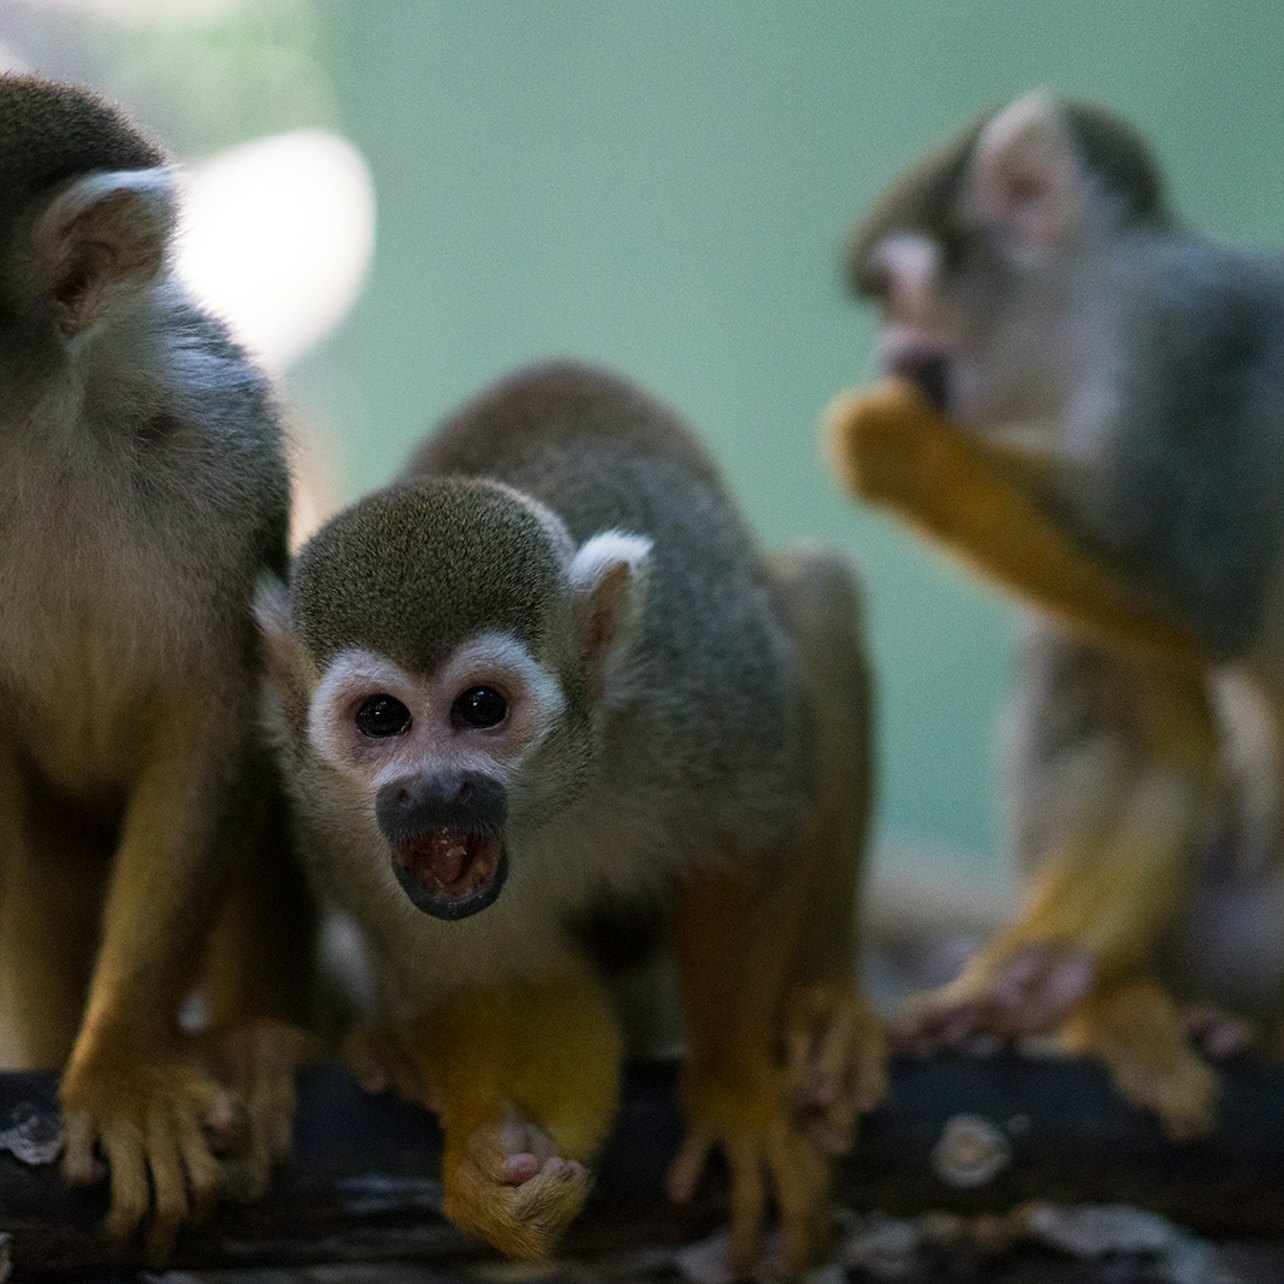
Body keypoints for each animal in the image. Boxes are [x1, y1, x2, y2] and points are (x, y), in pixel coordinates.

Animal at [254, 360, 886, 1271]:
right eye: (380, 719)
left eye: (482, 707)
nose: (436, 791)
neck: (547, 803)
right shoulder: (331, 824)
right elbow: (512, 980)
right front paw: (490, 1158)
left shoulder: (698, 693)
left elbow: (748, 843)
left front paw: (734, 1091)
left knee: (812, 605)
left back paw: (827, 1005)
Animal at [827, 88, 1284, 1139]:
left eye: (897, 295)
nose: (883, 354)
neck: (1101, 327)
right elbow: (1148, 736)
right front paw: (1039, 979)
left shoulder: (1189, 357)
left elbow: (1198, 588)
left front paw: (901, 445)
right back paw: (1128, 1005)